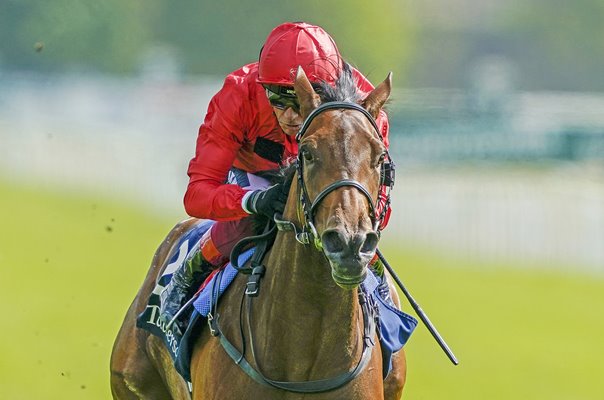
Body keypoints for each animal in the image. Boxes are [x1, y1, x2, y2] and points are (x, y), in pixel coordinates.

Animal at [111, 64, 408, 398]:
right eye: (307, 152)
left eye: (380, 157)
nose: (349, 243)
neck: (302, 354)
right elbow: (200, 183)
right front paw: (267, 199)